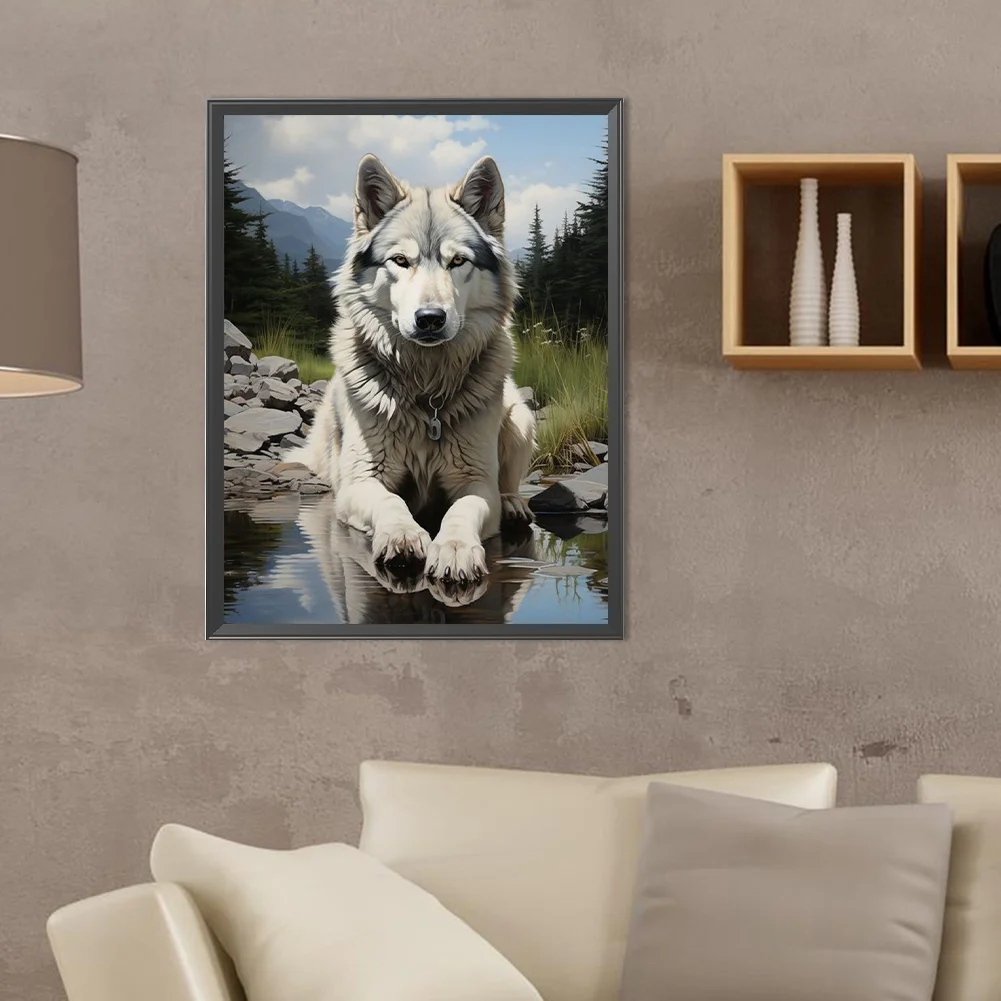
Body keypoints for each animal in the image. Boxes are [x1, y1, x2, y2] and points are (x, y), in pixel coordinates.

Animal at [285, 153, 536, 586]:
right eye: (401, 261)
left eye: (458, 261)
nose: (430, 319)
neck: (425, 389)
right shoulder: (362, 482)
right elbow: (390, 501)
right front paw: (402, 535)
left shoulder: (475, 481)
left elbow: (462, 510)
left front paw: (454, 549)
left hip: (520, 416)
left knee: (508, 481)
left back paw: (513, 504)